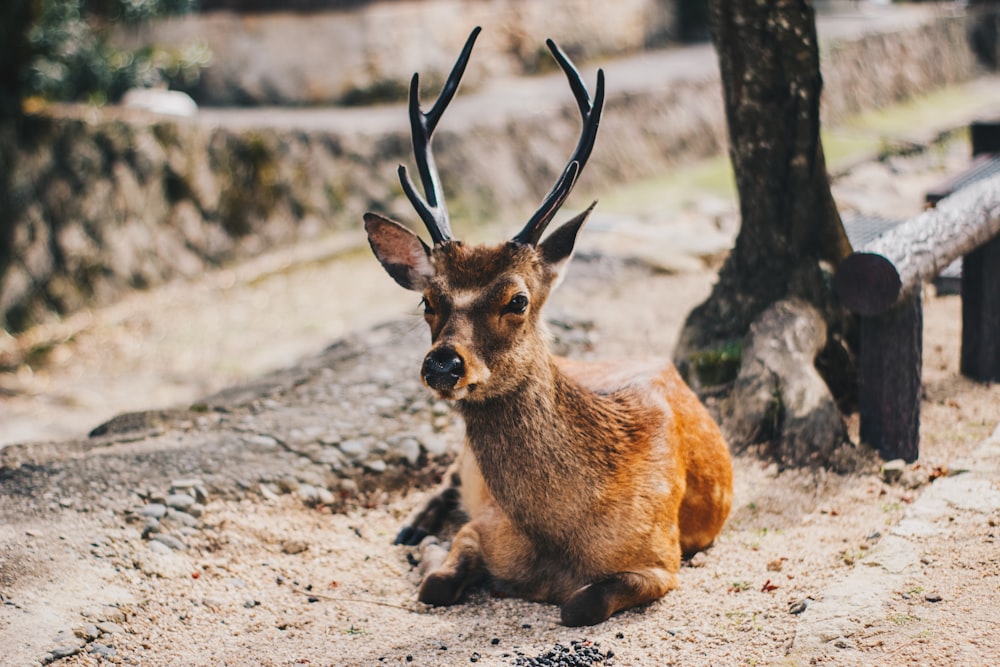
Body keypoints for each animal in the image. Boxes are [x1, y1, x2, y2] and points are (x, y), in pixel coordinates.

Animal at [364, 26, 732, 628]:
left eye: (517, 299)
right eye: (427, 300)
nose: (443, 363)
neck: (559, 542)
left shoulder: (661, 557)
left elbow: (579, 605)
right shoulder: (484, 523)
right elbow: (438, 584)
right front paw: (430, 553)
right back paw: (411, 530)